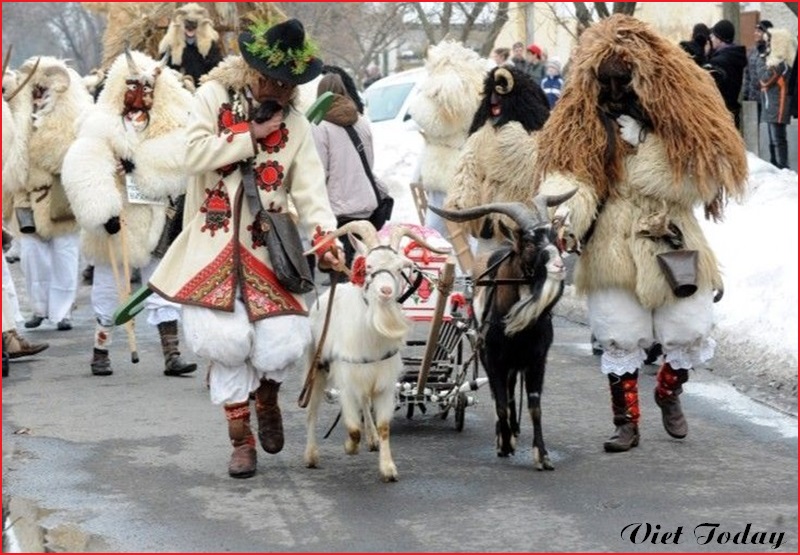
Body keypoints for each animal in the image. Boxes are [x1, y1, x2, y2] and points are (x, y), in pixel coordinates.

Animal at [302, 222, 450, 482]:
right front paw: (349, 447)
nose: (386, 290)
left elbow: (383, 426)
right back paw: (311, 456)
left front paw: (388, 468)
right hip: (317, 364)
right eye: (369, 265)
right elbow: (352, 428)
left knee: (364, 402)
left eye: (399, 268)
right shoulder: (347, 380)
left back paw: (371, 440)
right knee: (312, 410)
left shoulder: (383, 381)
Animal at [432, 190, 576, 470]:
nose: (558, 267)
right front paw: (505, 443)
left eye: (556, 239)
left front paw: (542, 456)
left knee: (510, 394)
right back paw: (506, 434)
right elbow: (499, 403)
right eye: (529, 244)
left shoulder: (536, 360)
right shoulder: (493, 358)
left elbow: (534, 407)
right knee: (502, 397)